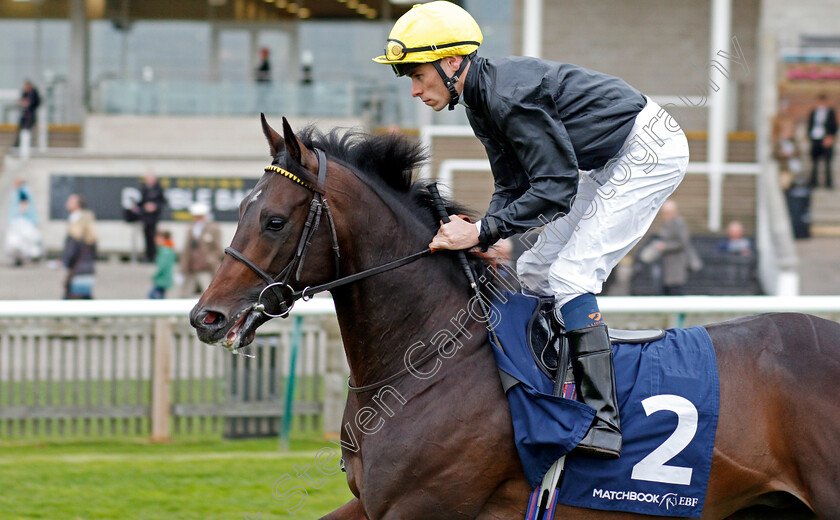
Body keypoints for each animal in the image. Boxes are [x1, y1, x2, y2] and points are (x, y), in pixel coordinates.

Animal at [190, 117, 840, 520]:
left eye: (273, 220)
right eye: (239, 210)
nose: (206, 317)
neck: (429, 359)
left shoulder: (424, 505)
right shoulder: (376, 501)